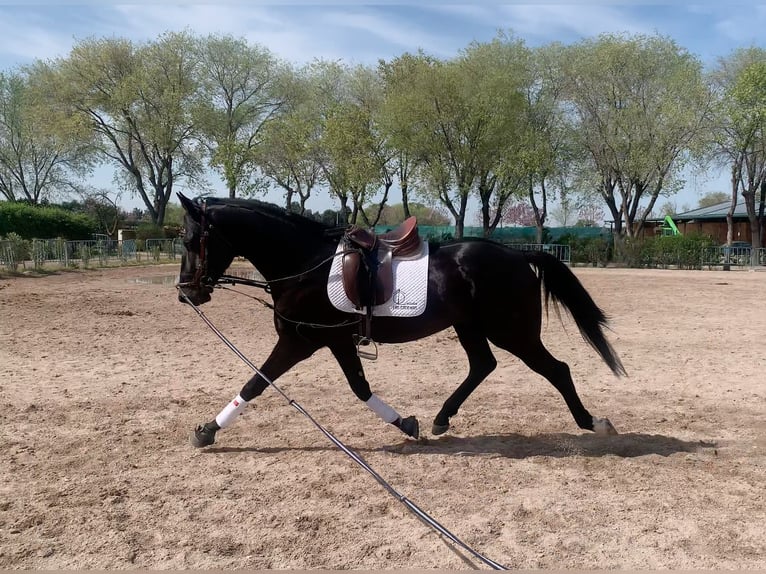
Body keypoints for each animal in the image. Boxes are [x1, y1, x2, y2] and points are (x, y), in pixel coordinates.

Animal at [176, 194, 626, 448]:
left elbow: (255, 383)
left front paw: (206, 431)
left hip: (511, 331)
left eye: (191, 240)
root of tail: (517, 255)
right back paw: (442, 419)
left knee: (556, 369)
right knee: (483, 365)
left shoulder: (300, 341)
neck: (307, 264)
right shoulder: (335, 342)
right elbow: (360, 389)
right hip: (471, 327)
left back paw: (593, 423)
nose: (186, 294)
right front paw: (408, 425)